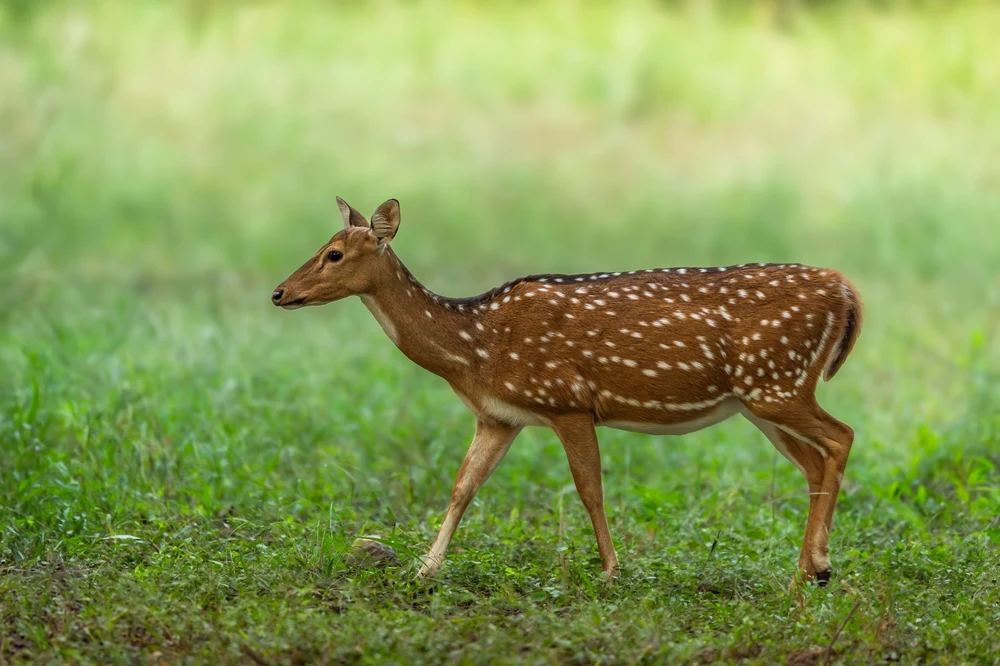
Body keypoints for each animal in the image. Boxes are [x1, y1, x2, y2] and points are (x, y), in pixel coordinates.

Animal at [272, 197, 864, 586]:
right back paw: (807, 570)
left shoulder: (567, 400)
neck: (475, 351)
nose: (279, 292)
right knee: (814, 462)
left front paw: (610, 571)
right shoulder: (499, 416)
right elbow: (463, 487)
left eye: (333, 253)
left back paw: (818, 567)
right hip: (759, 399)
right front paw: (424, 568)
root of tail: (848, 291)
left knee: (842, 436)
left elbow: (589, 489)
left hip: (778, 383)